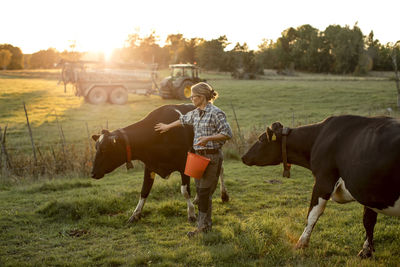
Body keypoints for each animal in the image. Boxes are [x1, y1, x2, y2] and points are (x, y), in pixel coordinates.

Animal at [91, 104, 228, 224]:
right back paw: (198, 199)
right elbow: (144, 190)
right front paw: (135, 215)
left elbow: (184, 190)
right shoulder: (150, 166)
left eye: (105, 149)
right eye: (96, 148)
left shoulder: (184, 164)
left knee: (220, 170)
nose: (92, 173)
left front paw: (191, 214)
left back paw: (223, 195)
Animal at [241, 115, 400, 260]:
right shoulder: (367, 191)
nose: (243, 156)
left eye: (261, 139)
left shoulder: (323, 181)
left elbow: (312, 214)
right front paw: (366, 251)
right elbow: (368, 221)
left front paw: (301, 244)